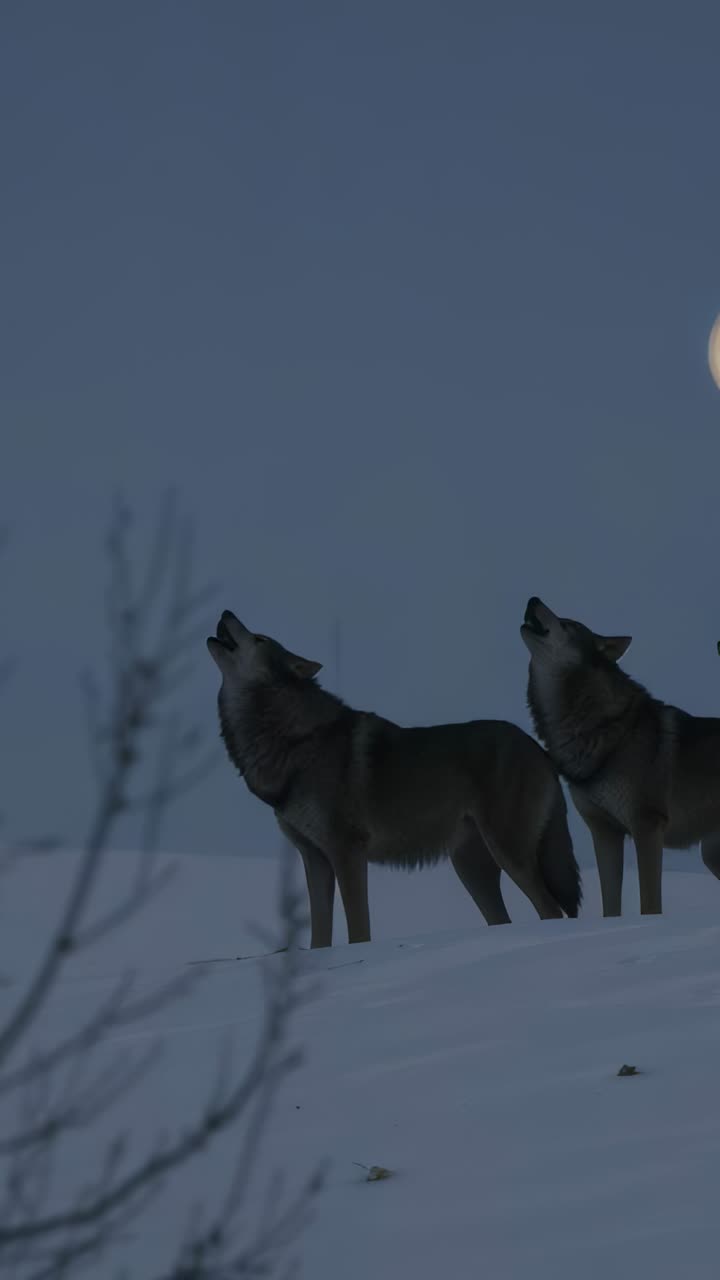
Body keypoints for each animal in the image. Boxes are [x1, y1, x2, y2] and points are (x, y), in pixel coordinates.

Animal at [207, 610, 581, 947]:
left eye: (259, 638)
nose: (226, 612)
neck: (296, 739)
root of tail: (538, 748)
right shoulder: (315, 859)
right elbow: (319, 937)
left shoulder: (348, 852)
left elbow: (359, 931)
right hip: (470, 868)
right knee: (505, 919)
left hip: (507, 853)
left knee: (551, 910)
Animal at [521, 595, 720, 917]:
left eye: (568, 624)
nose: (533, 598)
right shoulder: (604, 832)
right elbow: (610, 905)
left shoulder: (647, 826)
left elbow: (649, 904)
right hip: (711, 856)